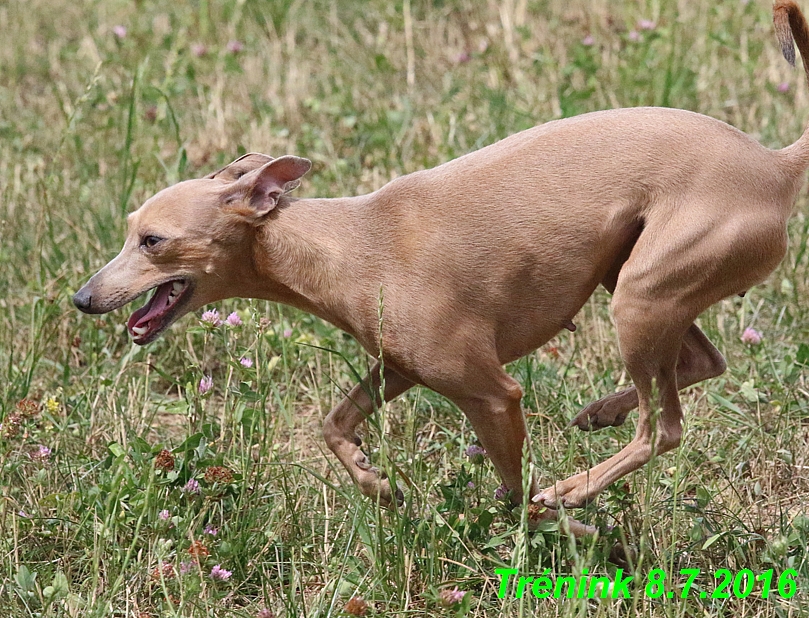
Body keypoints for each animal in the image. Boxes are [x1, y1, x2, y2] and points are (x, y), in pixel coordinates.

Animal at [74, 0, 808, 532]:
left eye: (152, 241)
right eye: (129, 231)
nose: (82, 298)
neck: (341, 241)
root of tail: (774, 162)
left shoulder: (491, 392)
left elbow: (514, 492)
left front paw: (544, 531)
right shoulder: (398, 366)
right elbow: (333, 425)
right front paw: (375, 482)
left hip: (641, 295)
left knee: (664, 428)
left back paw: (571, 490)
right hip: (636, 279)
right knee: (700, 364)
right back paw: (601, 413)